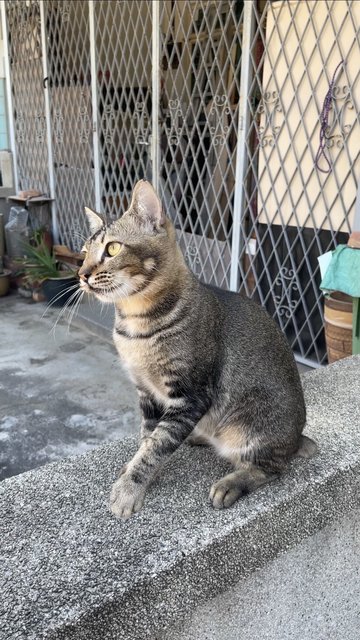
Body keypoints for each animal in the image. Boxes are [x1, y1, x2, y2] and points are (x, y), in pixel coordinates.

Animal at [79, 180, 316, 520]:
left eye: (112, 248)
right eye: (83, 254)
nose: (82, 274)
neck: (135, 327)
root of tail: (296, 438)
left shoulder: (191, 395)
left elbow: (155, 445)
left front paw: (129, 487)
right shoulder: (148, 393)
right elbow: (148, 437)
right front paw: (139, 470)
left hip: (246, 427)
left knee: (272, 467)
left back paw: (230, 484)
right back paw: (197, 437)